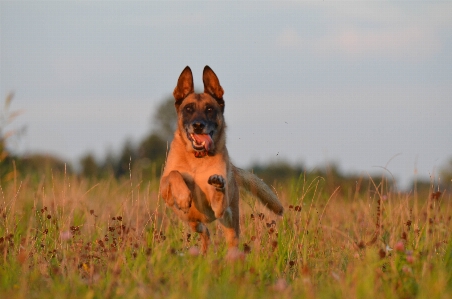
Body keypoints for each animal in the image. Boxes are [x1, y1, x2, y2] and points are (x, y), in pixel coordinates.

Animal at [160, 65, 282, 255]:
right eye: (189, 109)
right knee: (205, 232)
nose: (198, 125)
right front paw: (183, 196)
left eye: (210, 109)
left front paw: (218, 184)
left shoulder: (218, 209)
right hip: (193, 222)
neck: (197, 160)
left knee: (226, 236)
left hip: (230, 222)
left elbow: (218, 198)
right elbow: (174, 174)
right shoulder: (164, 189)